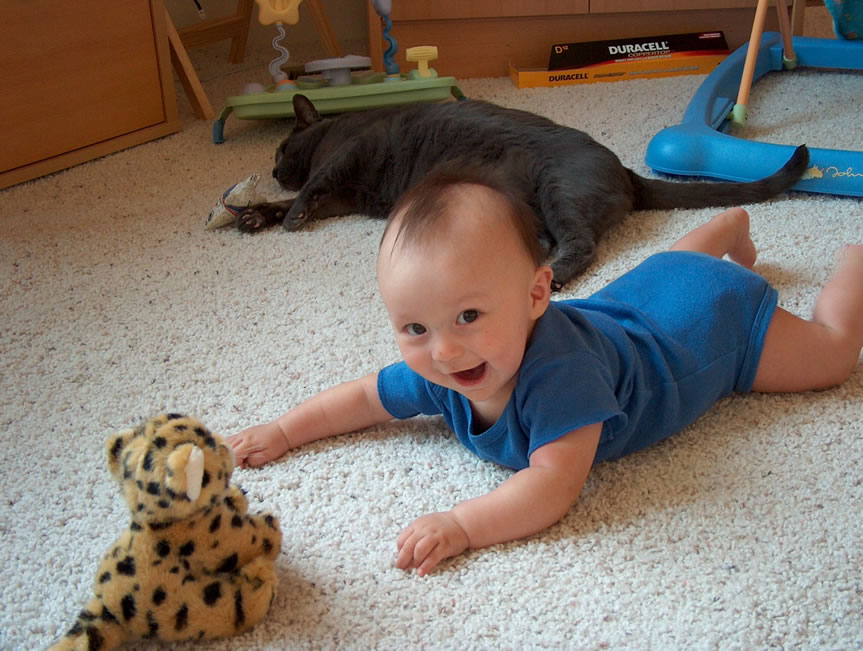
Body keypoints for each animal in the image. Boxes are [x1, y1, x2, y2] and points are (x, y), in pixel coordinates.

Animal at [240, 95, 808, 290]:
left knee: (580, 245)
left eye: (281, 149)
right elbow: (310, 199)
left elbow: (314, 185)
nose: (273, 169)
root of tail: (623, 169)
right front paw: (258, 214)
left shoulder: (350, 154)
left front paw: (286, 214)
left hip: (559, 190)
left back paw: (551, 278)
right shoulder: (348, 197)